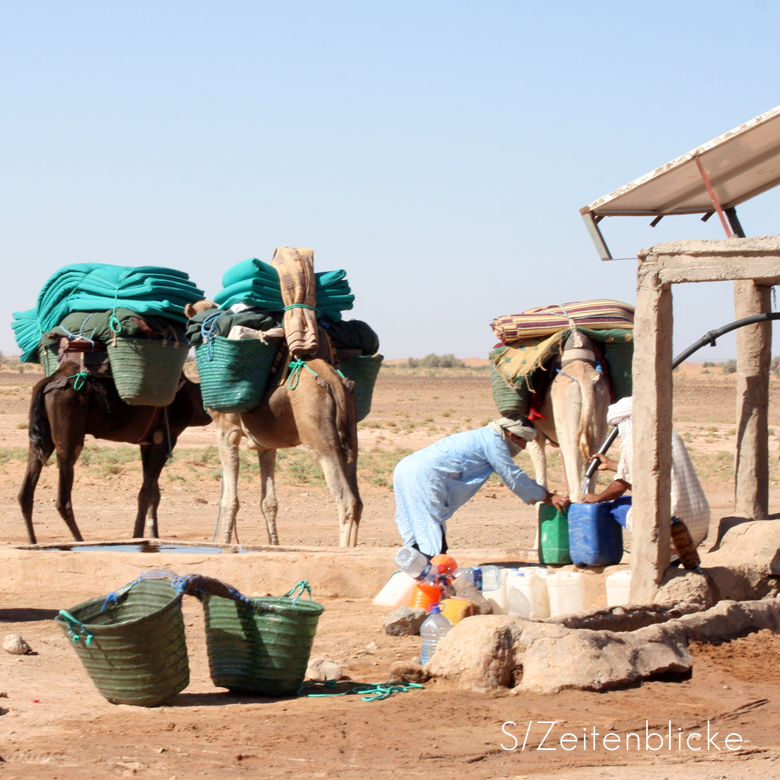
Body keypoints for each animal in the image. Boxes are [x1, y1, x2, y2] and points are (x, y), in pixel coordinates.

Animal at [18, 360, 212, 544]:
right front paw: (138, 537)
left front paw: (154, 537)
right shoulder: (167, 436)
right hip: (69, 425)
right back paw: (80, 542)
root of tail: (48, 381)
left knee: (26, 489)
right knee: (63, 497)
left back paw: (33, 542)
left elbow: (154, 492)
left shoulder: (147, 442)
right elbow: (146, 492)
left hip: (40, 435)